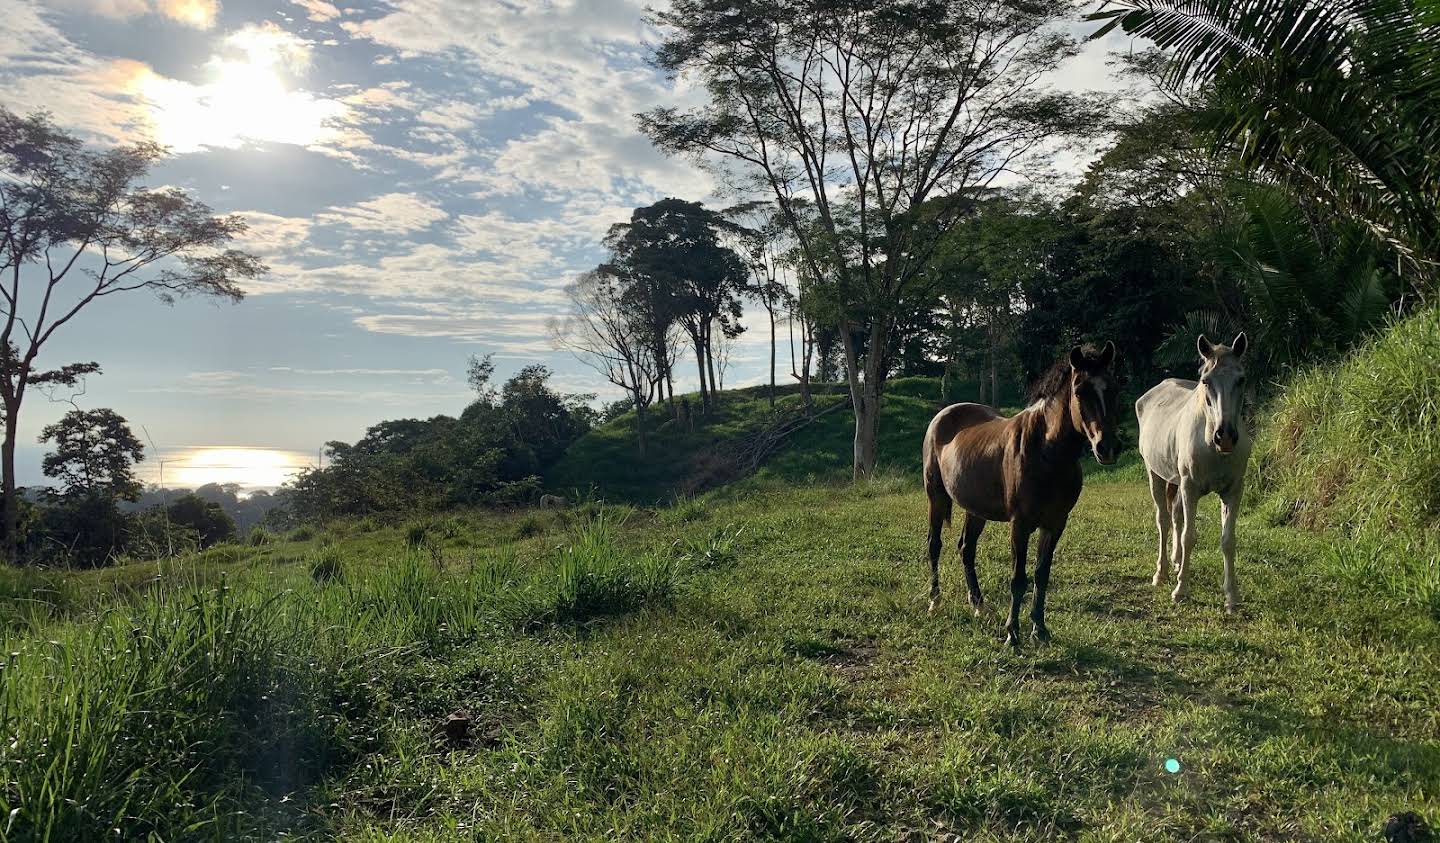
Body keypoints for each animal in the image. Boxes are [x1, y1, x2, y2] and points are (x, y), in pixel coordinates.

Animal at [921, 341, 1123, 645]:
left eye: (1112, 388)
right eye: (1079, 391)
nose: (1107, 447)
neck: (1046, 451)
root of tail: (942, 416)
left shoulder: (1055, 524)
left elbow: (1041, 575)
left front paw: (1040, 628)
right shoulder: (1020, 524)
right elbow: (1018, 579)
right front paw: (1012, 634)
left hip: (975, 509)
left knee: (967, 549)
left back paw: (979, 605)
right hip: (936, 498)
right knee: (935, 544)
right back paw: (935, 602)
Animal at [1134, 329, 1249, 610]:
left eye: (1241, 379)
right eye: (1206, 381)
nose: (1225, 436)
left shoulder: (1234, 490)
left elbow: (1228, 540)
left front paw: (1232, 596)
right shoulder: (1190, 487)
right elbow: (1189, 536)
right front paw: (1181, 590)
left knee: (1175, 515)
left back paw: (1176, 563)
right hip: (1156, 475)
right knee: (1164, 520)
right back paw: (1162, 573)